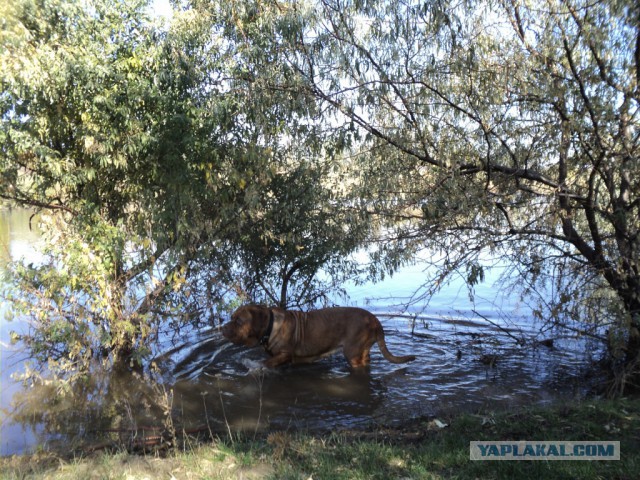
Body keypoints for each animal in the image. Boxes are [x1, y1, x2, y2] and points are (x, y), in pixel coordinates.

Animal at [222, 306, 418, 370]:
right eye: (232, 317)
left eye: (238, 321)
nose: (222, 328)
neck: (270, 326)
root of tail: (375, 320)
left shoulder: (285, 353)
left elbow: (266, 363)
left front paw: (255, 367)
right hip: (362, 351)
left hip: (353, 353)